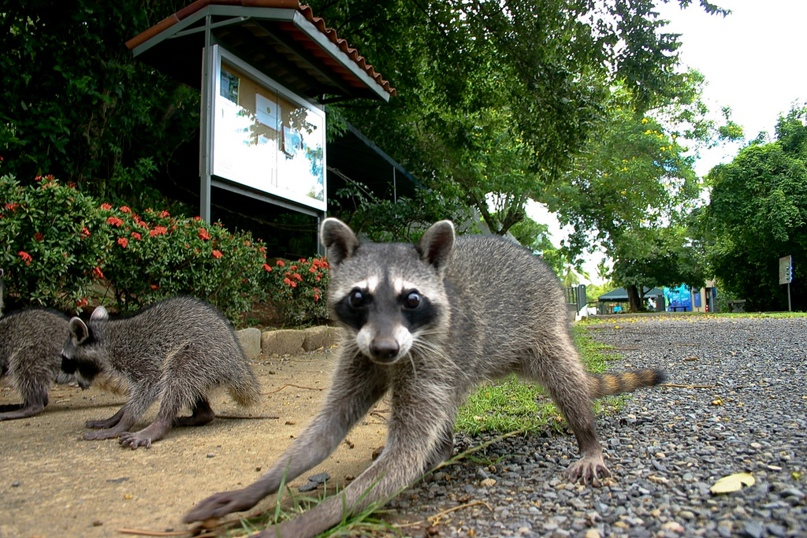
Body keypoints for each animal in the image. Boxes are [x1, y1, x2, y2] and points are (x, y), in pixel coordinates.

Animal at [61, 296, 260, 446]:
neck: (107, 339)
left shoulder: (140, 358)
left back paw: (160, 423)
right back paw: (201, 414)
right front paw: (117, 415)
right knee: (187, 384)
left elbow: (152, 383)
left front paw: (125, 420)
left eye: (66, 361)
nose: (75, 383)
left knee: (178, 373)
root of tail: (237, 362)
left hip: (205, 353)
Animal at [185, 219, 668, 536]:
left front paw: (296, 525)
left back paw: (586, 436)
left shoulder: (432, 354)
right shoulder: (358, 352)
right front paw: (258, 489)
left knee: (565, 377)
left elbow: (401, 457)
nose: (385, 350)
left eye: (411, 299)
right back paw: (443, 451)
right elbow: (327, 429)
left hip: (542, 324)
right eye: (358, 297)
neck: (392, 353)